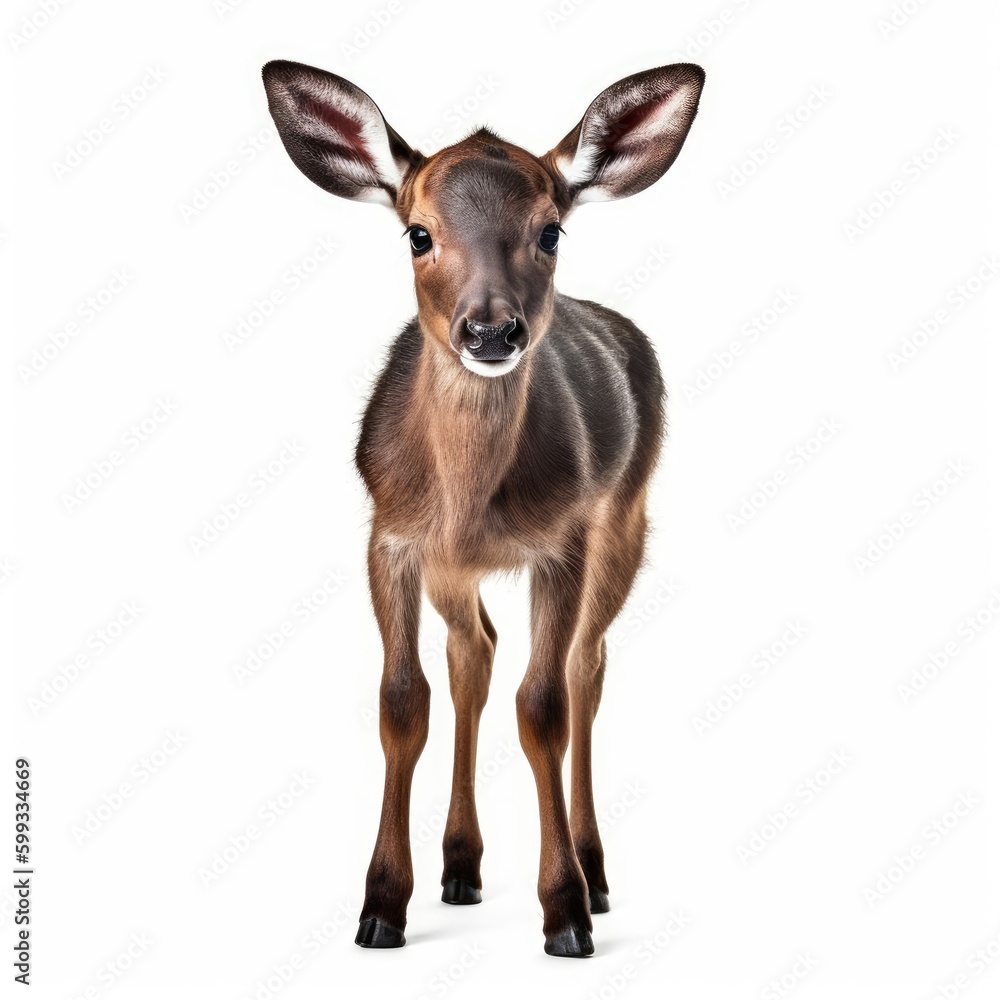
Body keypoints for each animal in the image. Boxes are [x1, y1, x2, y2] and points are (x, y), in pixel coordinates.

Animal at [262, 58, 704, 957]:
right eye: (417, 233)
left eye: (551, 231)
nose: (492, 331)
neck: (467, 500)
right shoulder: (391, 537)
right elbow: (403, 702)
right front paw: (381, 907)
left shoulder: (564, 541)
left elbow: (544, 708)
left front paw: (564, 912)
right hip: (454, 572)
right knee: (476, 652)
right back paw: (459, 867)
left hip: (626, 520)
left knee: (585, 668)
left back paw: (595, 872)